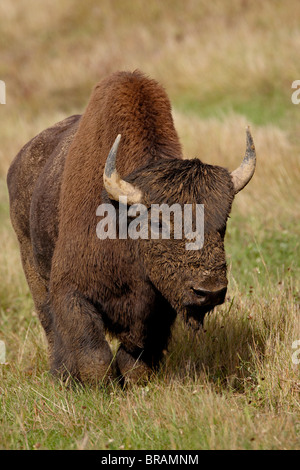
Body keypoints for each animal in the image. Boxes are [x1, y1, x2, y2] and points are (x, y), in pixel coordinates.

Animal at [7, 70, 255, 386]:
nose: (209, 291)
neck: (124, 222)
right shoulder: (71, 291)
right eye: (159, 222)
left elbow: (136, 355)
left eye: (223, 223)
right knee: (50, 325)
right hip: (30, 260)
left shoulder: (158, 309)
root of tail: (19, 161)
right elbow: (93, 353)